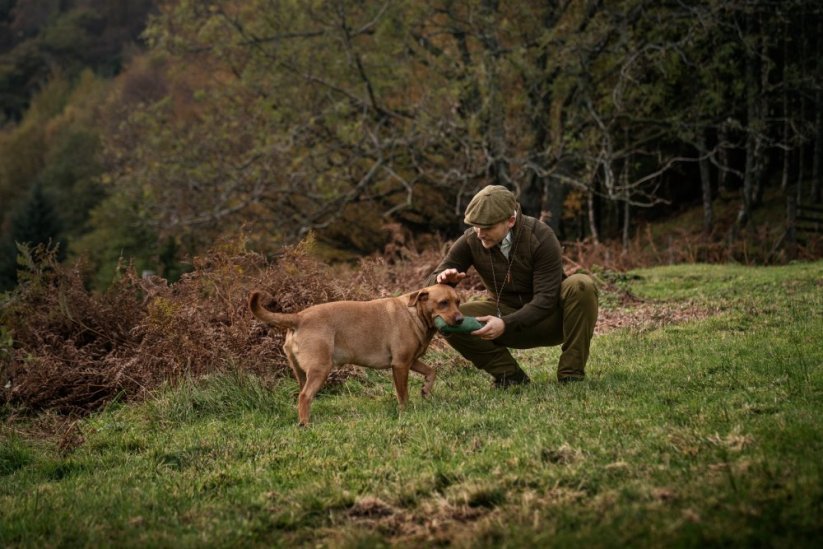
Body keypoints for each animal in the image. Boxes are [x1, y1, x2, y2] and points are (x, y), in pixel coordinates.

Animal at [248, 284, 464, 426]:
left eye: (458, 302)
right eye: (443, 303)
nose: (461, 319)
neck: (415, 313)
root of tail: (298, 317)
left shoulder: (412, 361)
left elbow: (432, 371)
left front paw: (426, 390)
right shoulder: (400, 364)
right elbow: (403, 394)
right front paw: (405, 412)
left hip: (302, 372)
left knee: (303, 396)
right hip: (320, 370)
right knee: (304, 396)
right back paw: (305, 425)